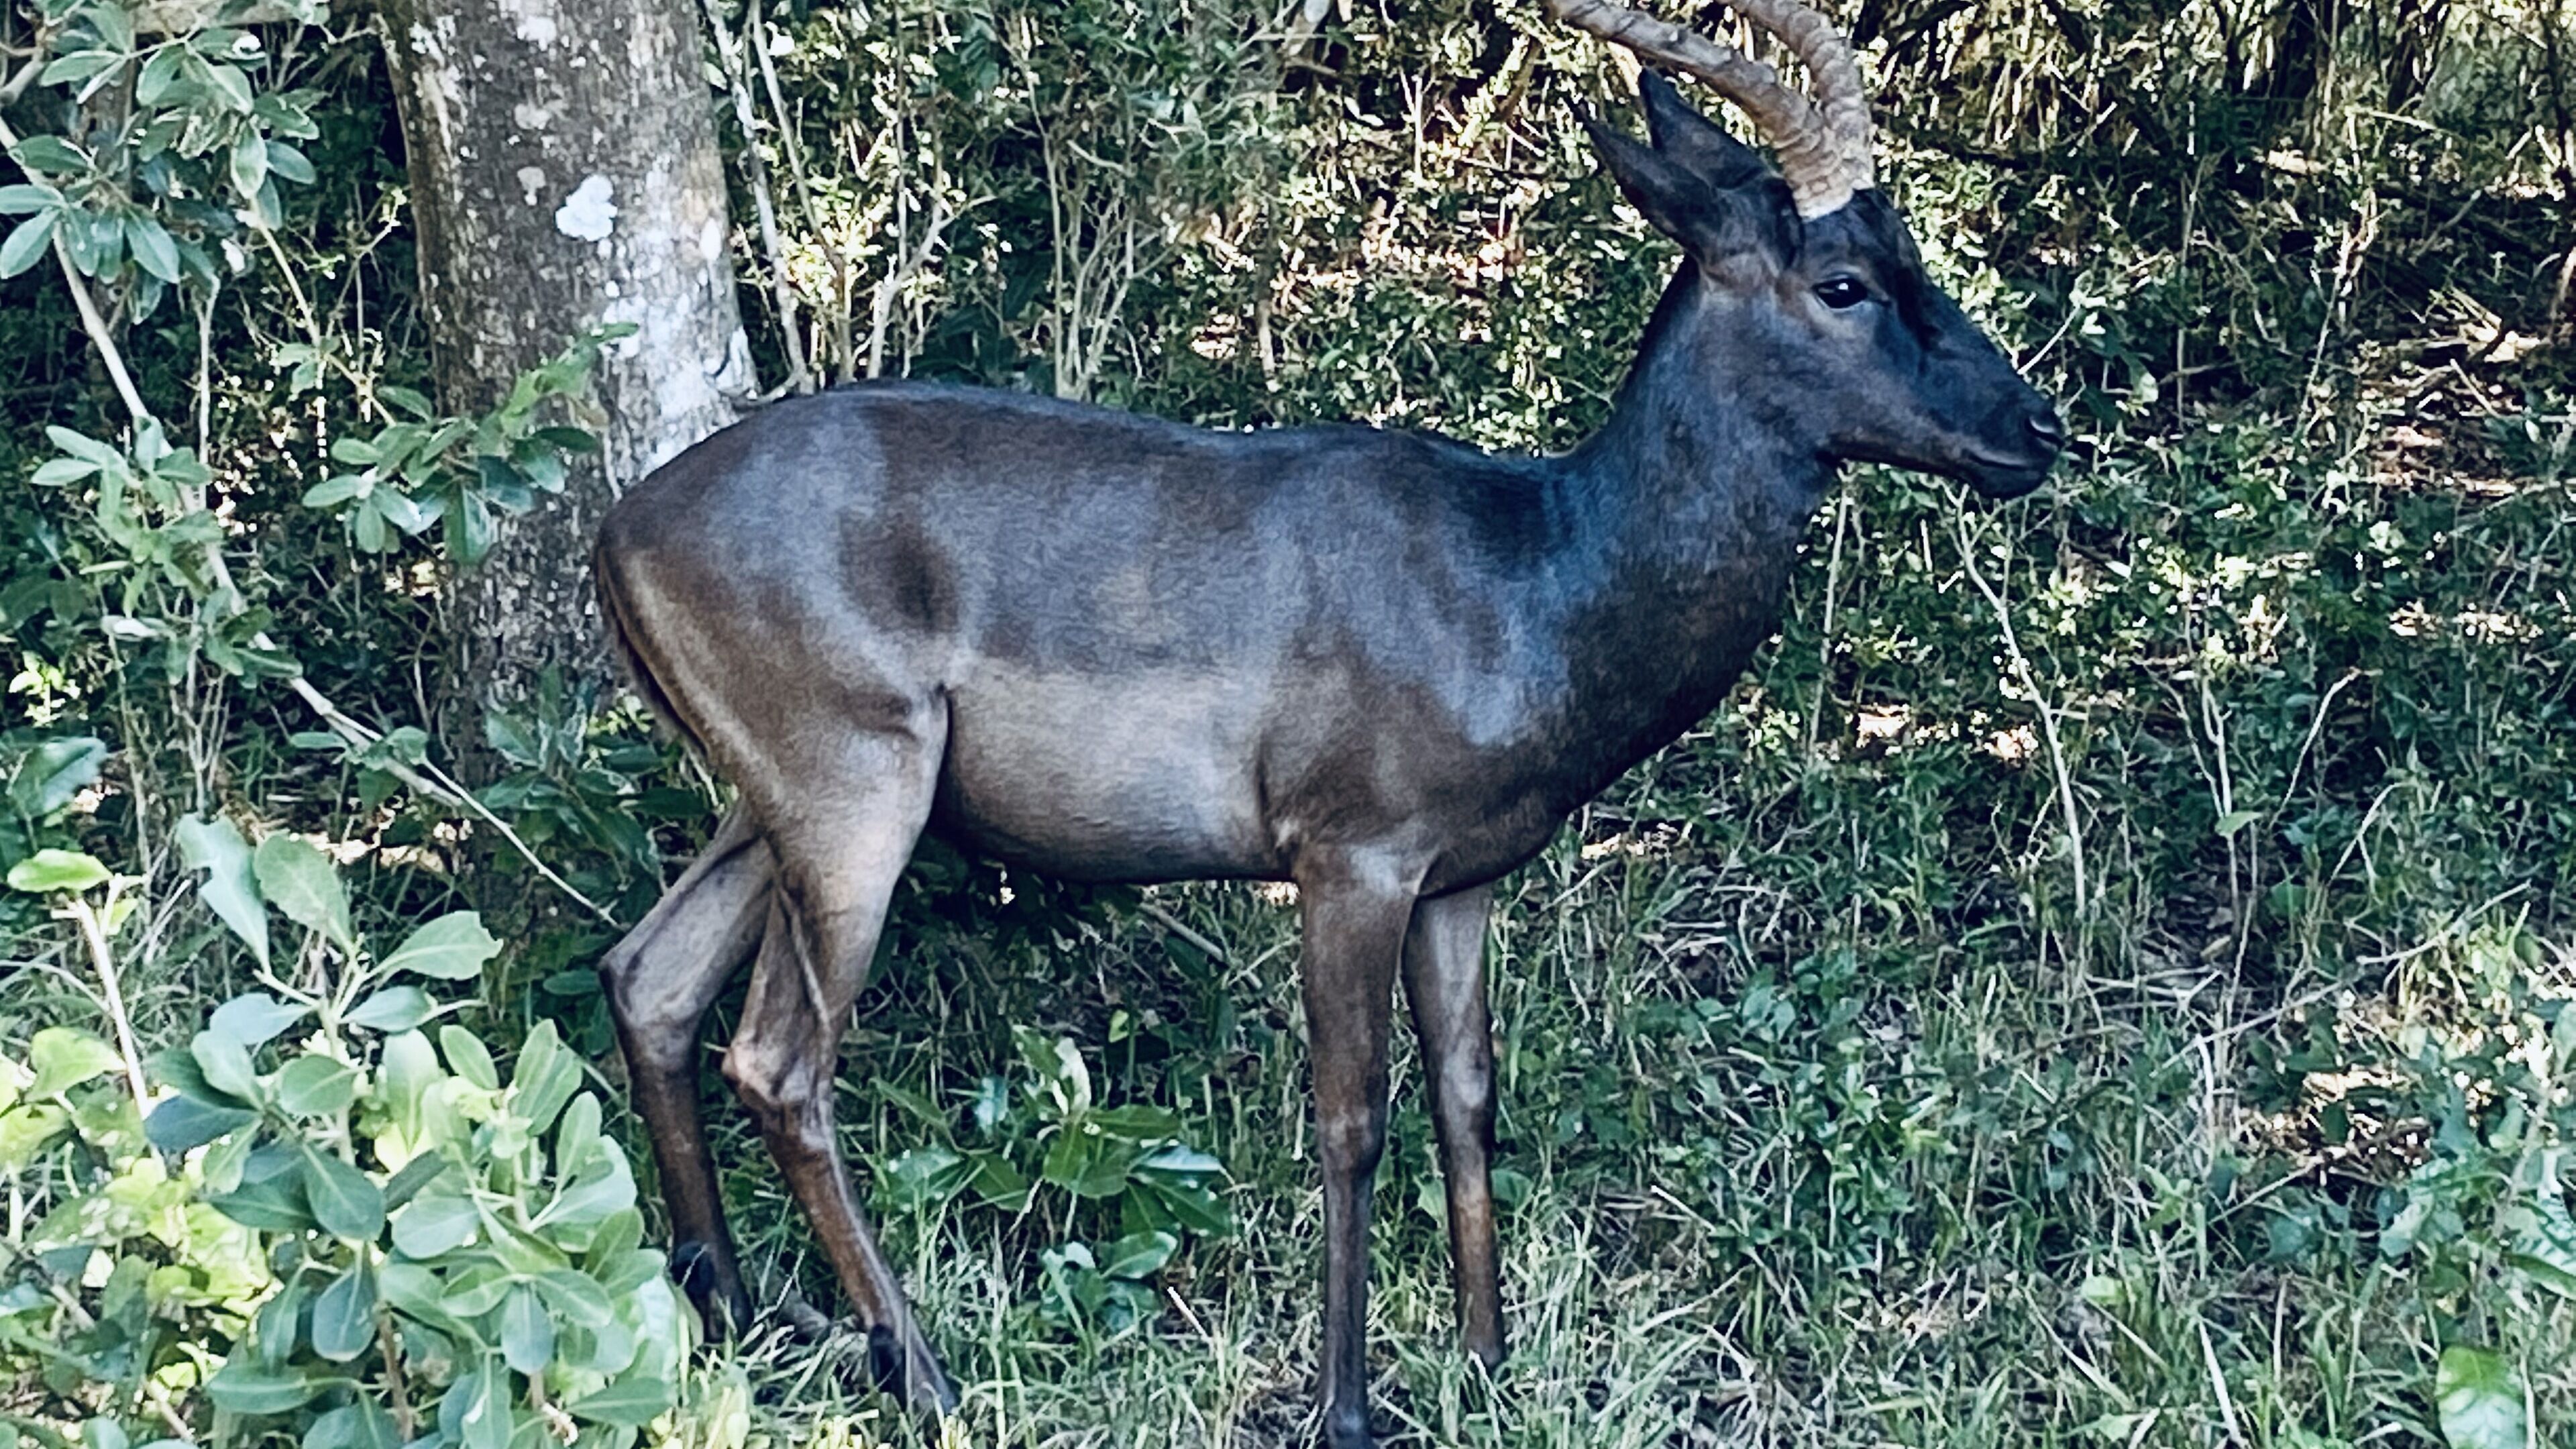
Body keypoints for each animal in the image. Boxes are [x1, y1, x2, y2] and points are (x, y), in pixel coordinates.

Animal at [590, 1, 2061, 1443]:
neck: (1534, 571)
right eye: (1844, 280)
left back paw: (729, 1320)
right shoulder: (1350, 863)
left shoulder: (1462, 882)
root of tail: (622, 528)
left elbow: (1470, 1096)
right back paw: (928, 1380)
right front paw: (1347, 1408)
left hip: (764, 814)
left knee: (649, 980)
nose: (2036, 429)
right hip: (854, 812)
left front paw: (1489, 1370)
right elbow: (1354, 1114)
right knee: (780, 1059)